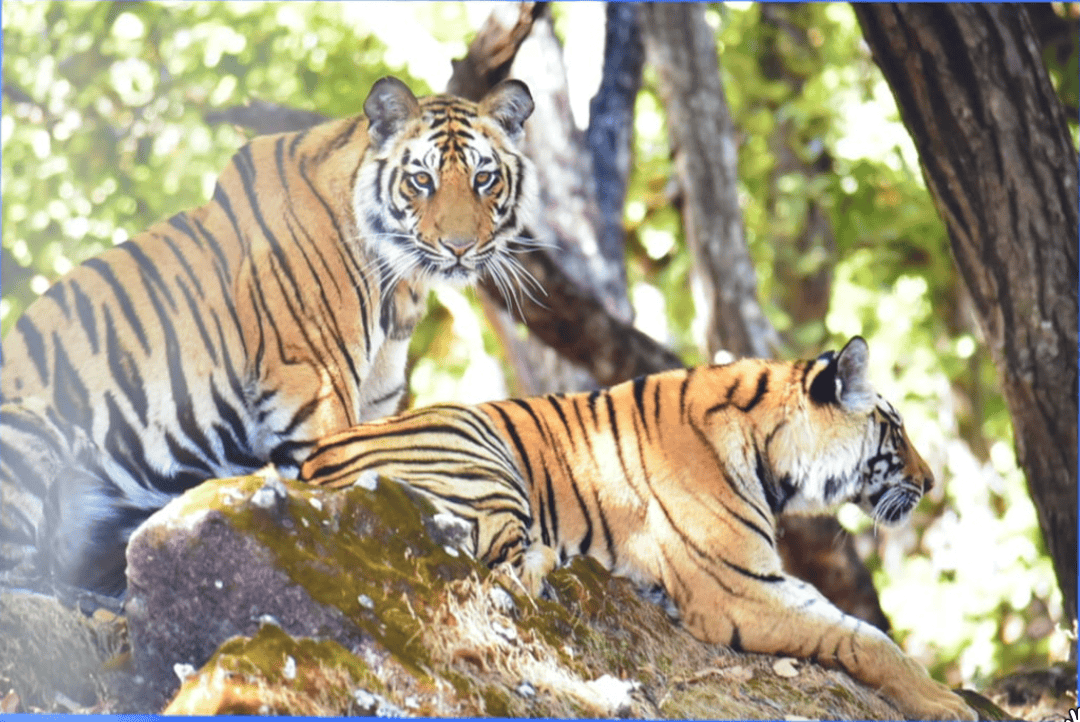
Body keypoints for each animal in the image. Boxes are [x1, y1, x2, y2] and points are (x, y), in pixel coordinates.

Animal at [0, 76, 539, 596]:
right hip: (28, 426)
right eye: (422, 180)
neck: (399, 290)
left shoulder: (374, 407)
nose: (460, 248)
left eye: (484, 178)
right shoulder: (317, 393)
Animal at [300, 337, 975, 720]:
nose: (932, 482)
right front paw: (946, 703)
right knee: (505, 561)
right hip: (477, 447)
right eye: (896, 431)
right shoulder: (741, 589)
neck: (770, 450)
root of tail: (309, 462)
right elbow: (867, 638)